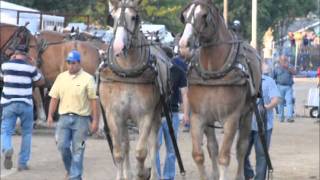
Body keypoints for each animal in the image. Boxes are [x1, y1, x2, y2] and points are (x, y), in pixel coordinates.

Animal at [99, 0, 171, 179]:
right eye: (112, 18)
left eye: (134, 17)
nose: (118, 46)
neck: (127, 73)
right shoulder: (113, 115)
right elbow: (119, 152)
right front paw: (124, 175)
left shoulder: (146, 115)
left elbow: (141, 151)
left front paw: (142, 172)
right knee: (125, 144)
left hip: (156, 113)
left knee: (153, 145)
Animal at [179, 0, 262, 179]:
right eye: (184, 15)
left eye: (204, 15)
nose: (183, 45)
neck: (214, 72)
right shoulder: (198, 116)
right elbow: (199, 155)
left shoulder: (231, 119)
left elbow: (225, 157)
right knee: (212, 147)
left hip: (247, 113)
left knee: (242, 148)